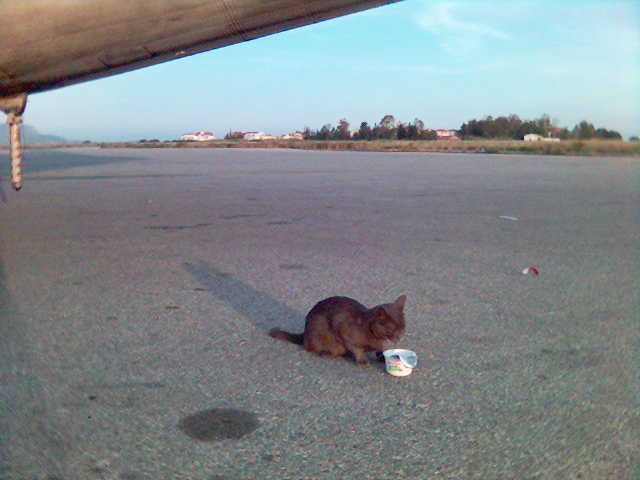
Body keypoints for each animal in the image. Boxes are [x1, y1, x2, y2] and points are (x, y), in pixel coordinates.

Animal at [268, 294, 404, 366]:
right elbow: (356, 349)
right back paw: (326, 353)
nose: (399, 337)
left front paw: (382, 355)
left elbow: (381, 349)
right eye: (391, 329)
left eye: (403, 327)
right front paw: (362, 360)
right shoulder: (343, 329)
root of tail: (304, 332)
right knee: (312, 348)